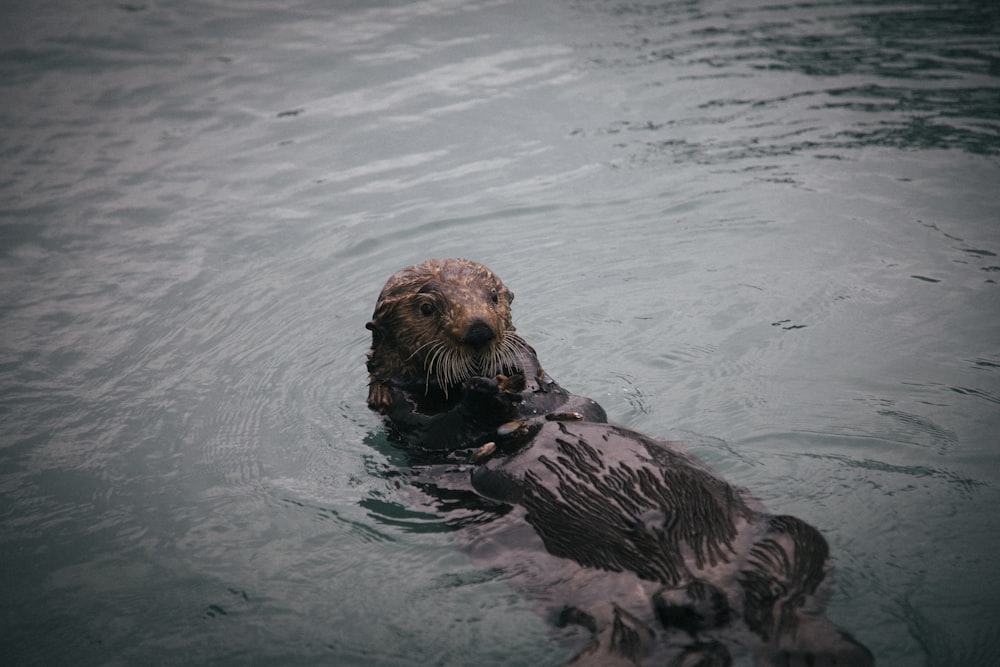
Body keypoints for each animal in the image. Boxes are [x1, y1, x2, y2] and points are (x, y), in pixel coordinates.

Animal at [364, 258, 872, 664]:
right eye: (427, 308)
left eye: (491, 297)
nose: (479, 330)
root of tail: (701, 591)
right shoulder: (402, 418)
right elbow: (436, 430)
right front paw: (481, 396)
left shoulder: (551, 387)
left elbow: (553, 388)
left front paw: (512, 376)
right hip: (607, 609)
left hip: (784, 538)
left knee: (785, 598)